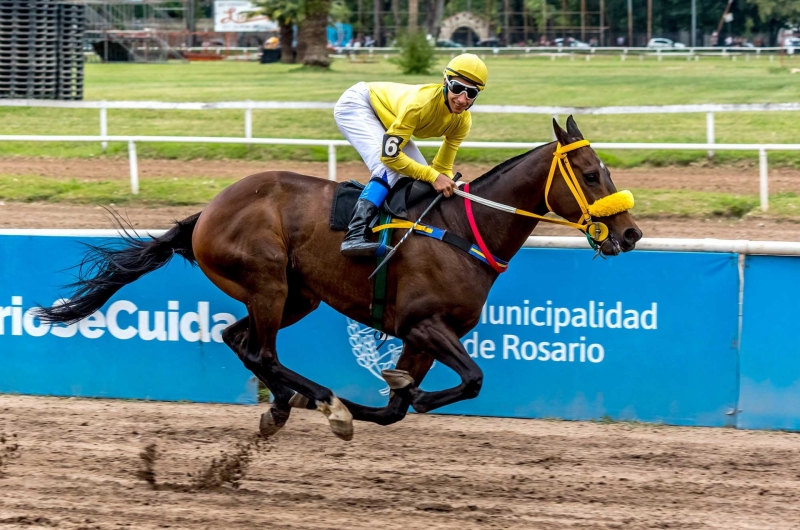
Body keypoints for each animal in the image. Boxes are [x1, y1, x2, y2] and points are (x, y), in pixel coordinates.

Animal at [39, 117, 644, 440]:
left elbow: (399, 407)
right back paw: (318, 399)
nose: (632, 233)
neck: (464, 231)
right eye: (591, 174)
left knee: (239, 340)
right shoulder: (423, 325)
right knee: (261, 351)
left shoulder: (422, 338)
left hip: (297, 295)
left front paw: (394, 395)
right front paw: (365, 404)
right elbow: (471, 379)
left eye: (606, 169)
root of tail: (207, 212)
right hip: (268, 282)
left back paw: (287, 404)